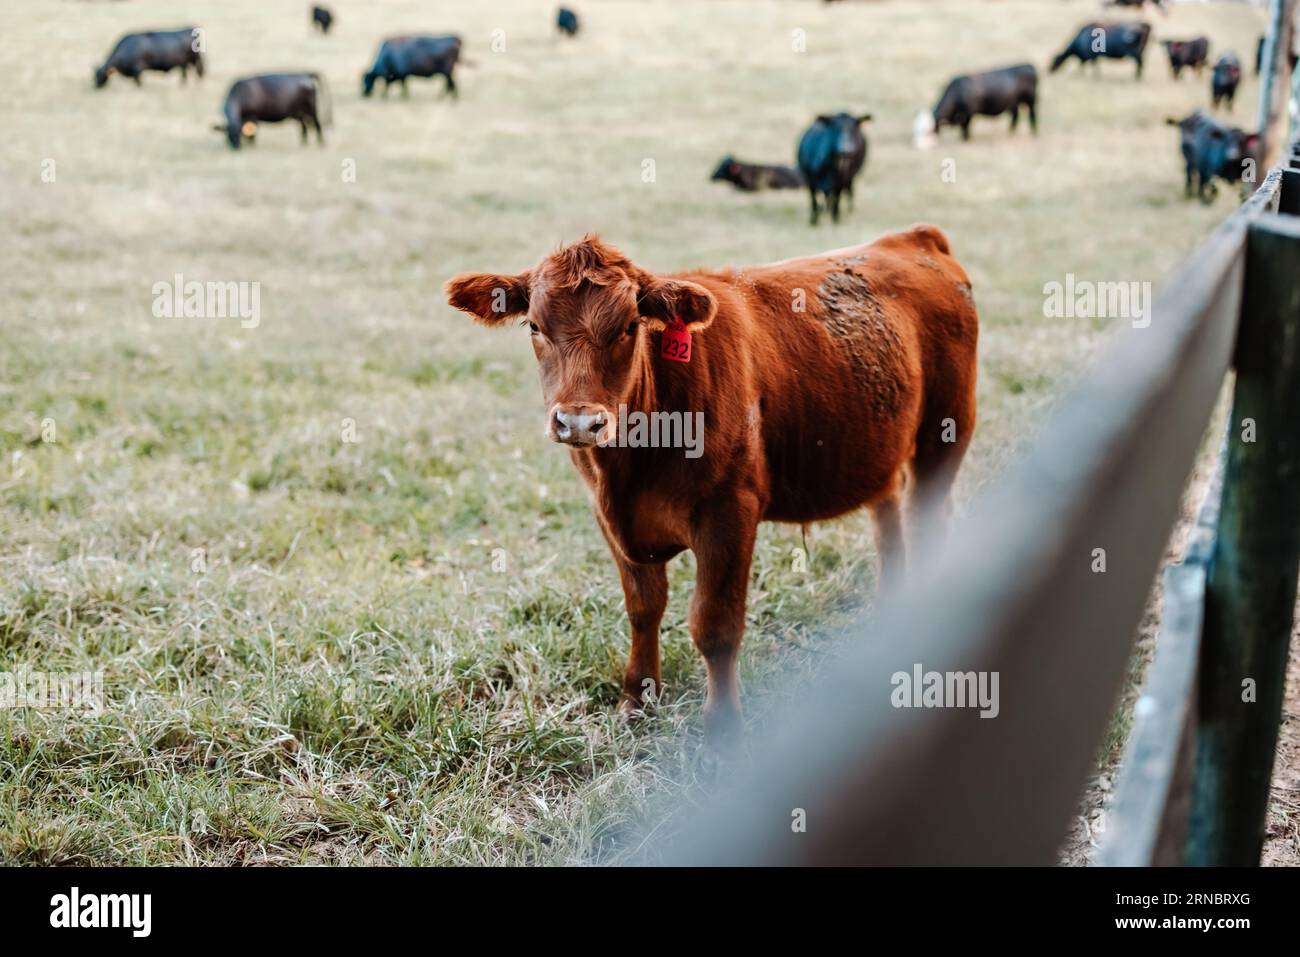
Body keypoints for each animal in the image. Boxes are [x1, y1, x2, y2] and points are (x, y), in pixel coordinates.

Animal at [447, 223, 977, 738]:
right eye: (535, 326)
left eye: (629, 326)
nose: (578, 422)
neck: (631, 468)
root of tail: (912, 237)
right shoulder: (610, 522)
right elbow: (643, 609)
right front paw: (637, 699)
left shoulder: (729, 513)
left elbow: (715, 626)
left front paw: (722, 726)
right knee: (889, 522)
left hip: (945, 433)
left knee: (930, 519)